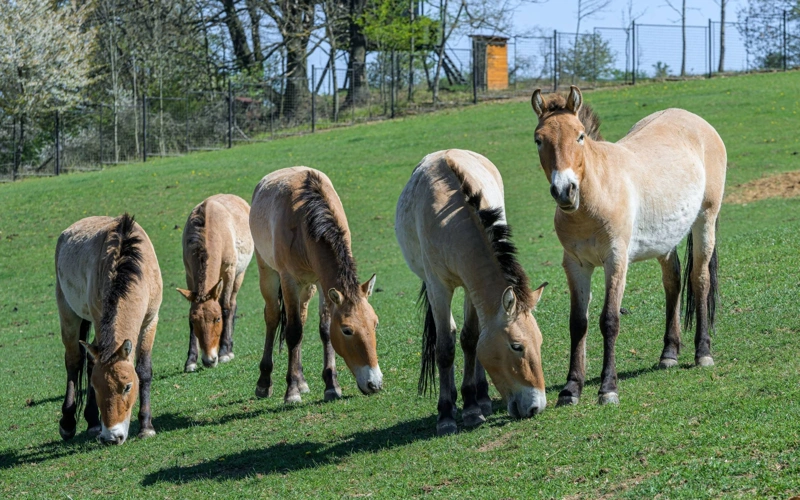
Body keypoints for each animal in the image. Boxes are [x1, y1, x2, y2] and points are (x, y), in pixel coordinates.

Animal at [55, 213, 162, 444]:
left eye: (128, 386)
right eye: (96, 388)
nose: (112, 437)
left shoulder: (150, 321)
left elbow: (144, 370)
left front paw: (146, 427)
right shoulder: (97, 319)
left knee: (88, 362)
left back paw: (93, 422)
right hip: (68, 315)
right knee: (74, 361)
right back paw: (68, 424)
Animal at [177, 194, 254, 372]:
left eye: (217, 319)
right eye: (194, 321)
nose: (209, 360)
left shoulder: (229, 271)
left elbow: (225, 306)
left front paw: (224, 353)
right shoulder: (189, 275)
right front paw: (190, 361)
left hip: (238, 275)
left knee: (232, 304)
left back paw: (229, 349)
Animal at [249, 167, 383, 403]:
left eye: (374, 324)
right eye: (347, 330)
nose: (374, 383)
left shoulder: (322, 283)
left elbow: (325, 330)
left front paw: (331, 385)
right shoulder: (288, 280)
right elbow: (293, 332)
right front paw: (291, 391)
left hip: (306, 288)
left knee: (300, 317)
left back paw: (302, 380)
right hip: (268, 273)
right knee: (273, 317)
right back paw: (265, 383)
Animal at [395, 149, 548, 436]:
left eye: (540, 342)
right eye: (517, 346)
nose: (536, 407)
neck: (449, 220)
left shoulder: (471, 287)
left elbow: (471, 340)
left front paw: (472, 407)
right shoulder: (438, 287)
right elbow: (446, 347)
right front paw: (446, 415)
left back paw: (483, 398)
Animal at [530, 86, 726, 406]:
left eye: (580, 136)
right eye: (539, 139)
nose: (564, 191)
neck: (597, 197)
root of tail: (698, 122)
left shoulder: (616, 261)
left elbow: (609, 320)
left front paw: (608, 389)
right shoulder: (575, 265)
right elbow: (578, 323)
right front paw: (571, 389)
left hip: (705, 220)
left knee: (700, 279)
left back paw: (703, 353)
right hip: (665, 239)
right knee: (673, 283)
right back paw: (669, 354)